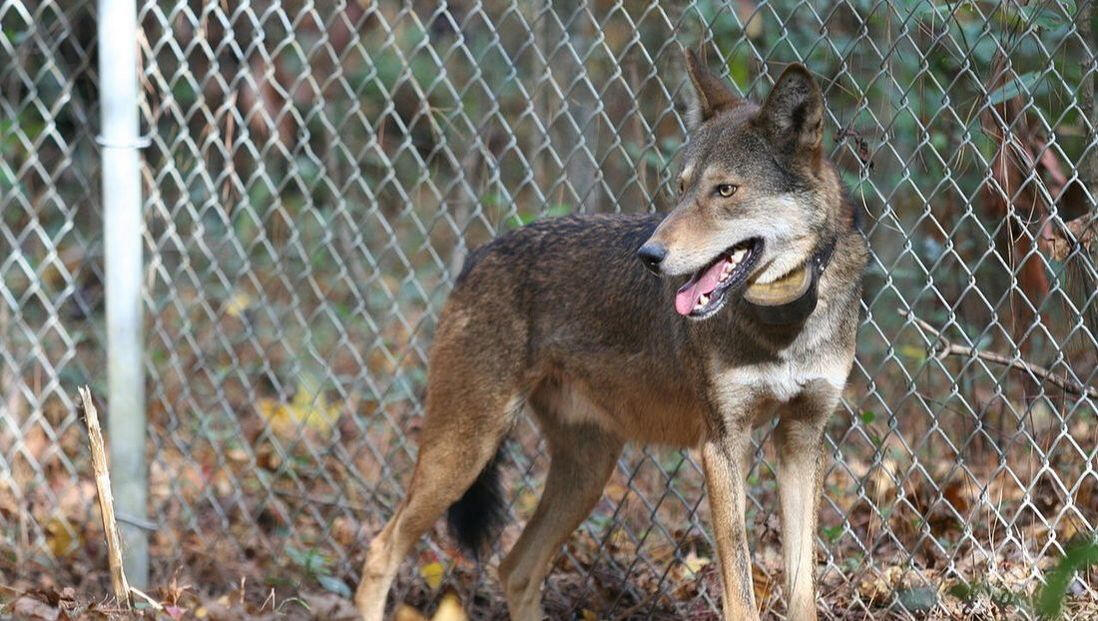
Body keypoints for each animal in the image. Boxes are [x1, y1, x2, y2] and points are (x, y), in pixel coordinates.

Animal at [355, 49, 867, 621]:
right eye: (681, 188)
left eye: (725, 190)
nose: (650, 256)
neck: (782, 323)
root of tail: (479, 253)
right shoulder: (722, 446)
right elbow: (740, 594)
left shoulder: (802, 439)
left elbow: (802, 593)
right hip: (464, 452)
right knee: (381, 550)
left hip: (587, 471)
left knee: (515, 568)